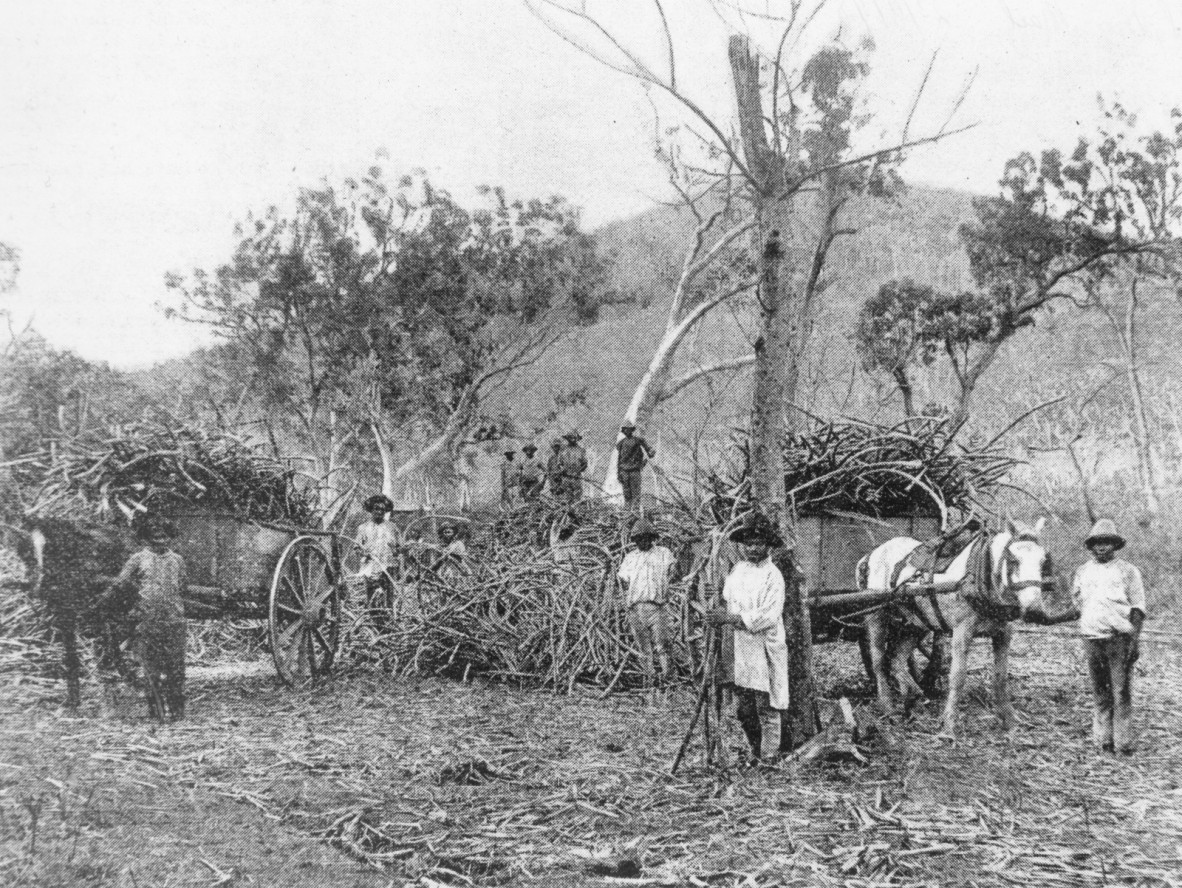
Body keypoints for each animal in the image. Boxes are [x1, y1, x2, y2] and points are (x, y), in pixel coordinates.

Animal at [7, 517, 134, 704]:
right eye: (27, 555)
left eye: (55, 552)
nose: (38, 586)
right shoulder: (64, 610)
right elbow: (71, 655)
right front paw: (73, 697)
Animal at [855, 517, 1059, 737]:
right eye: (1013, 560)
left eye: (1043, 561)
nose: (1035, 610)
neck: (981, 574)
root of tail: (871, 555)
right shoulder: (962, 632)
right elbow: (958, 676)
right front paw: (950, 725)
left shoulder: (1003, 634)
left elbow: (1001, 677)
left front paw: (1009, 720)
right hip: (877, 616)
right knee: (878, 661)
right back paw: (888, 706)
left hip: (915, 622)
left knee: (897, 659)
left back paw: (914, 696)